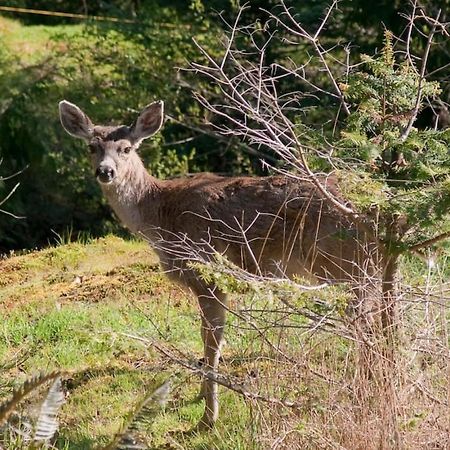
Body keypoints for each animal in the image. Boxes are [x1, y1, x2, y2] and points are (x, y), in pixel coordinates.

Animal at [57, 98, 372, 428]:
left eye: (126, 148)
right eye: (92, 146)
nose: (105, 171)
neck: (161, 217)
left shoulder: (207, 273)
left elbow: (212, 340)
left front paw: (208, 417)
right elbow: (209, 338)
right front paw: (200, 396)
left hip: (340, 261)